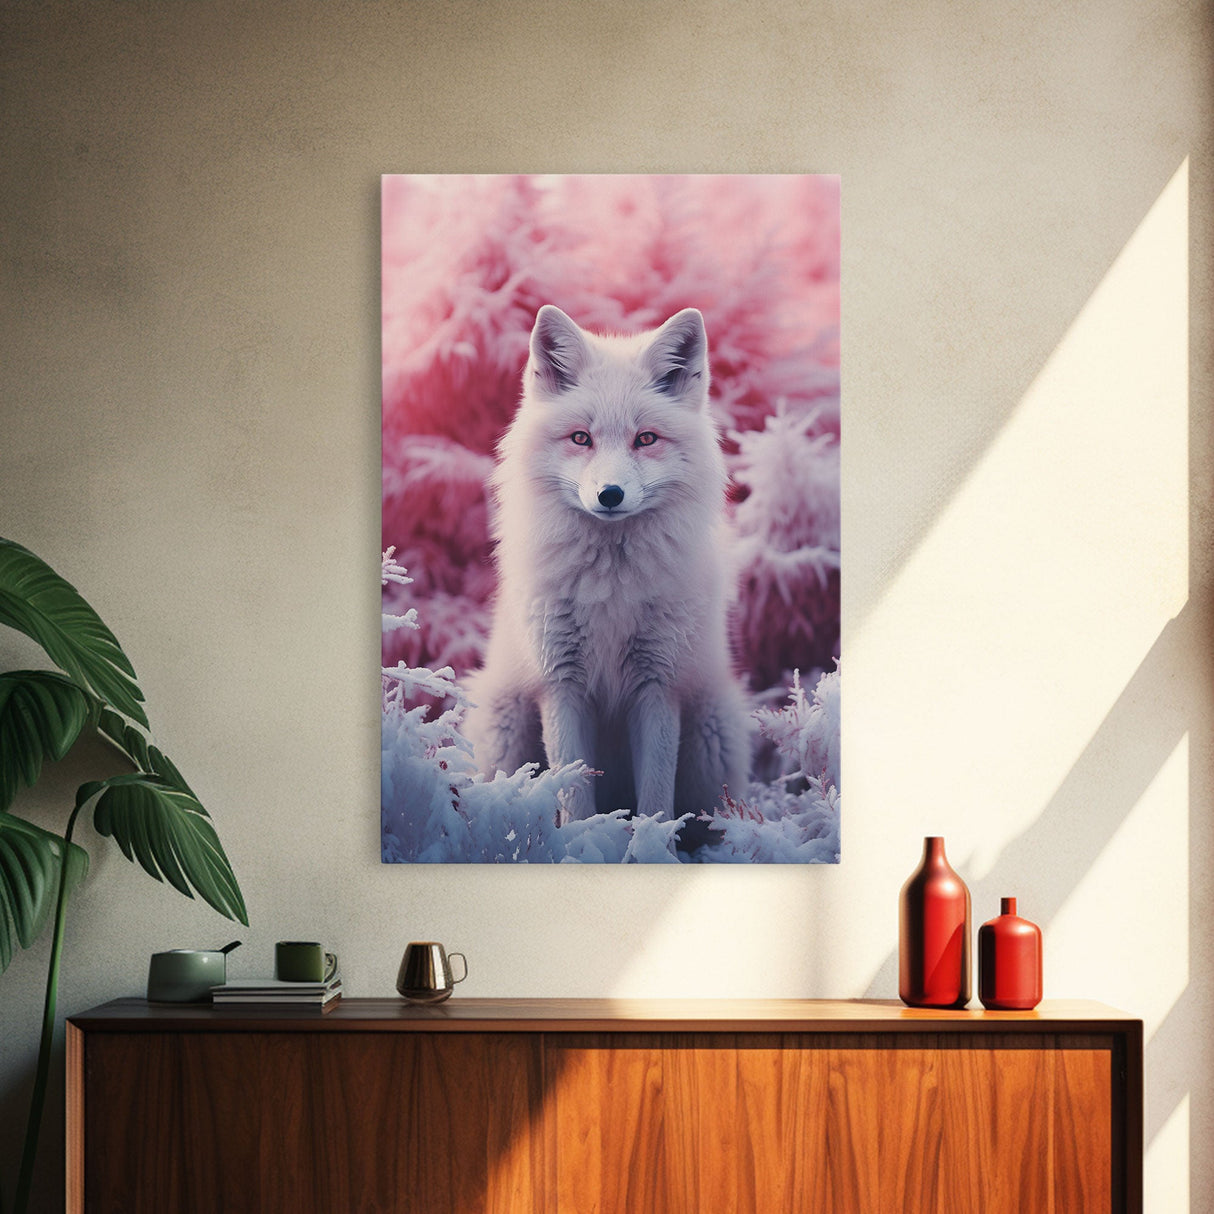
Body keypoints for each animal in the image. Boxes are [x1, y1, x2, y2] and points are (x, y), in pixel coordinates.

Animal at [464, 305, 750, 848]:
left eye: (645, 439)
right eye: (582, 438)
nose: (610, 495)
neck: (610, 591)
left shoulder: (658, 686)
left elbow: (656, 805)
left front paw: (652, 853)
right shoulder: (561, 685)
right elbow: (573, 795)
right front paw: (581, 849)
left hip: (711, 739)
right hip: (506, 734)